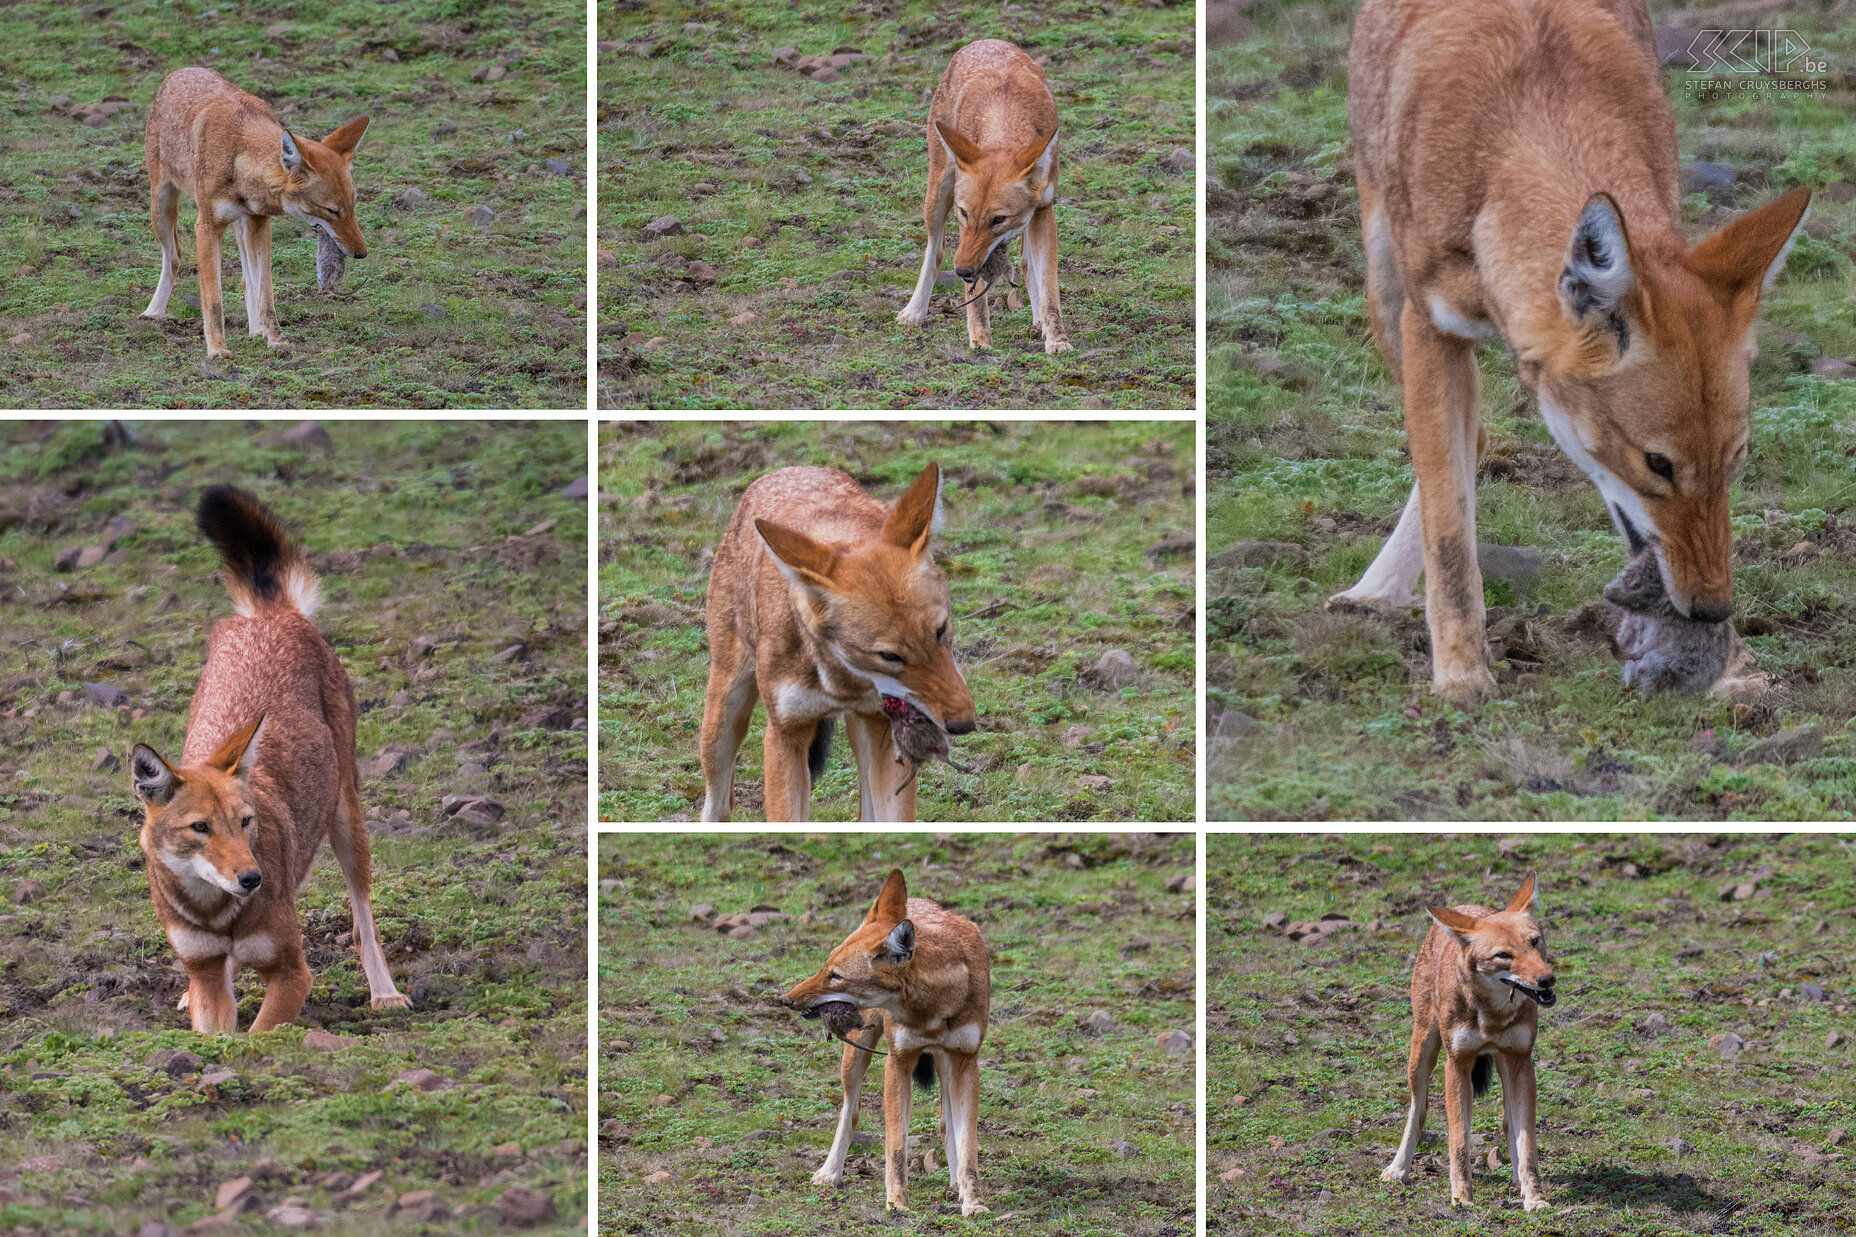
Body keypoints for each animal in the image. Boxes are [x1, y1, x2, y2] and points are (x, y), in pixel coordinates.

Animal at [129, 482, 406, 1032]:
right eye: (201, 828)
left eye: (246, 822)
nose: (252, 878)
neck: (216, 913)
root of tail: (270, 616)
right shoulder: (207, 972)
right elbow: (220, 1032)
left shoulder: (293, 973)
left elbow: (255, 1039)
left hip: (348, 822)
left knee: (363, 919)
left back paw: (385, 994)